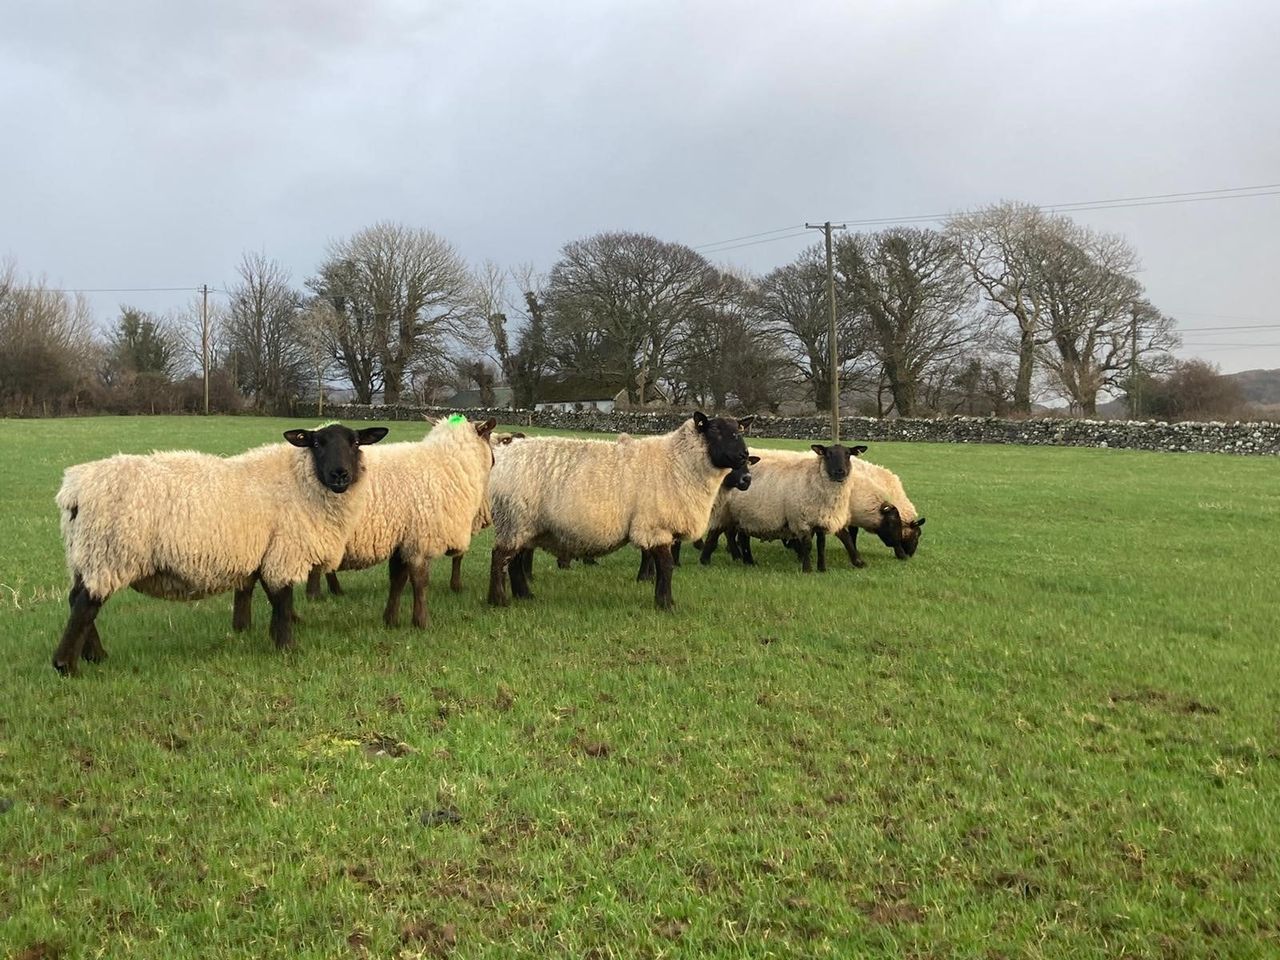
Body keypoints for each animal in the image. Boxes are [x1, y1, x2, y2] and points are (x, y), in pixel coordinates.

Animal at [51, 422, 389, 674]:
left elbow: (270, 598)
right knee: (85, 604)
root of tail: (74, 489)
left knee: (77, 599)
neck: (299, 481)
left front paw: (271, 636)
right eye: (317, 443)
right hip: (110, 551)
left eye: (355, 442)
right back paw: (66, 665)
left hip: (84, 553)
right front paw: (287, 647)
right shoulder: (284, 550)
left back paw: (96, 656)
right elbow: (282, 600)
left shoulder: (265, 552)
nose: (340, 474)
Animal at [302, 415, 497, 628]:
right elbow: (420, 581)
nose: (495, 461)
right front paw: (422, 622)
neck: (445, 463)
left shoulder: (402, 538)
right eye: (489, 435)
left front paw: (391, 620)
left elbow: (398, 580)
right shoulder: (419, 539)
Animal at [486, 412, 753, 610]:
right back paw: (498, 601)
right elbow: (666, 567)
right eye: (715, 430)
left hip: (523, 523)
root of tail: (503, 455)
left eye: (740, 430)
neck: (678, 462)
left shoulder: (656, 527)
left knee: (514, 561)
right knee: (499, 557)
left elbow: (661, 566)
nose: (744, 455)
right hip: (514, 518)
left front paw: (662, 599)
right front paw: (666, 604)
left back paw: (524, 595)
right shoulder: (655, 525)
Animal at [698, 444, 862, 572]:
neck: (814, 478)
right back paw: (705, 561)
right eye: (828, 454)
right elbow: (807, 546)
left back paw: (749, 562)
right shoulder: (800, 520)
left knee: (743, 538)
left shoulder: (820, 520)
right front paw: (807, 570)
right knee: (714, 534)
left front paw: (822, 569)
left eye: (848, 455)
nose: (840, 472)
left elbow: (821, 546)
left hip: (743, 515)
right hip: (724, 512)